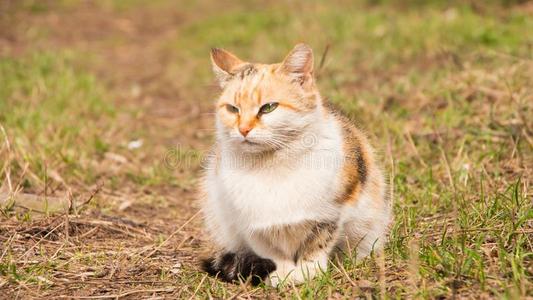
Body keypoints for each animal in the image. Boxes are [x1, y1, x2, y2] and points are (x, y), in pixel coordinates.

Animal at [201, 42, 390, 286]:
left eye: (268, 107)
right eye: (233, 109)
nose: (243, 129)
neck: (271, 166)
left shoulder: (332, 210)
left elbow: (318, 242)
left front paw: (309, 271)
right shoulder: (248, 222)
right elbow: (271, 250)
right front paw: (283, 273)